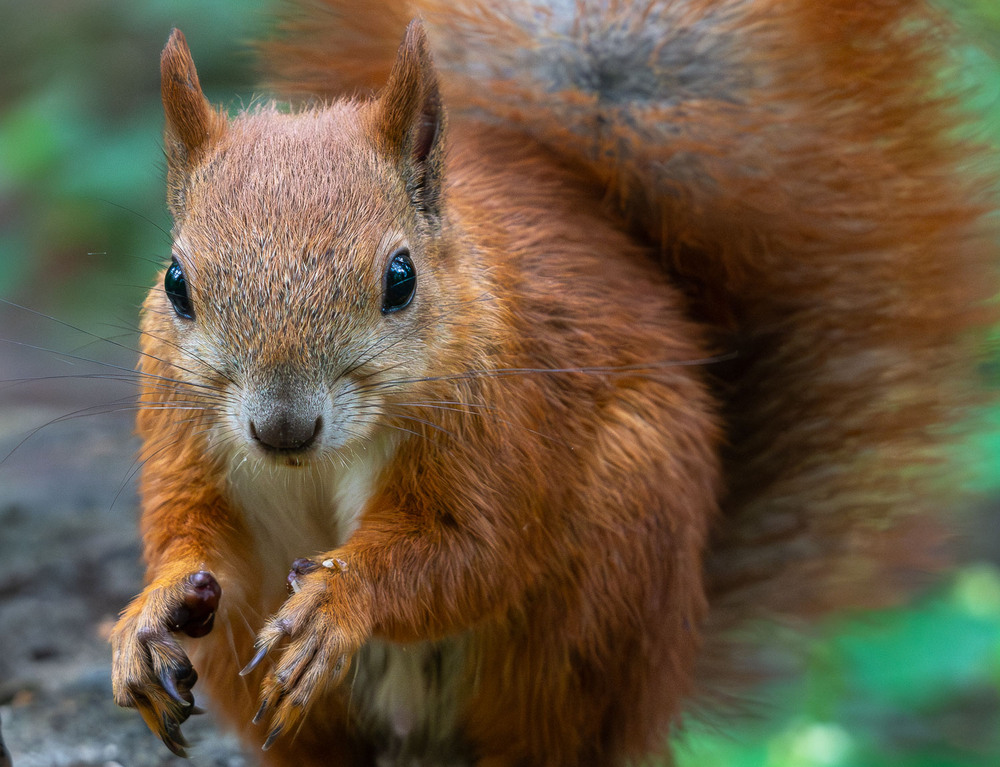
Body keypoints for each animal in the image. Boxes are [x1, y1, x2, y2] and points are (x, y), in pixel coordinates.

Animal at [107, 1, 992, 767]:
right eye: (177, 282)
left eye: (401, 279)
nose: (282, 428)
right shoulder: (184, 432)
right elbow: (194, 536)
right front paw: (150, 610)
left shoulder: (504, 423)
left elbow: (473, 554)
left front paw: (338, 605)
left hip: (596, 594)